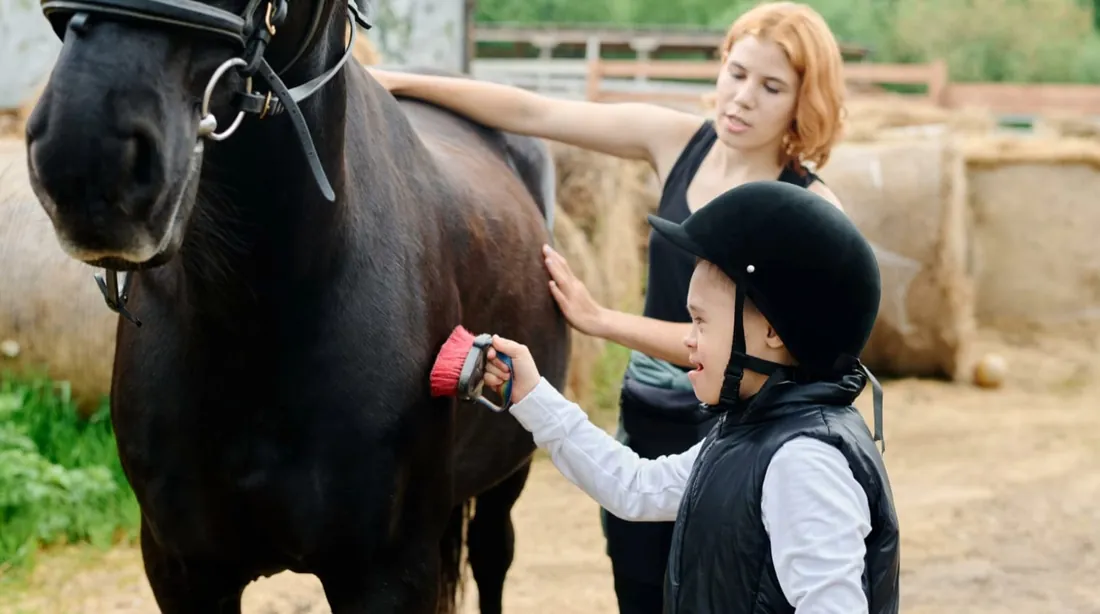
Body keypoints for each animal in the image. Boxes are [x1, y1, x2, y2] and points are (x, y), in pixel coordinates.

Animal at [23, 0, 570, 610]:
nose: (84, 154)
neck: (255, 322)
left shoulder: (389, 573)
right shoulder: (182, 568)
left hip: (507, 474)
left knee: (492, 557)